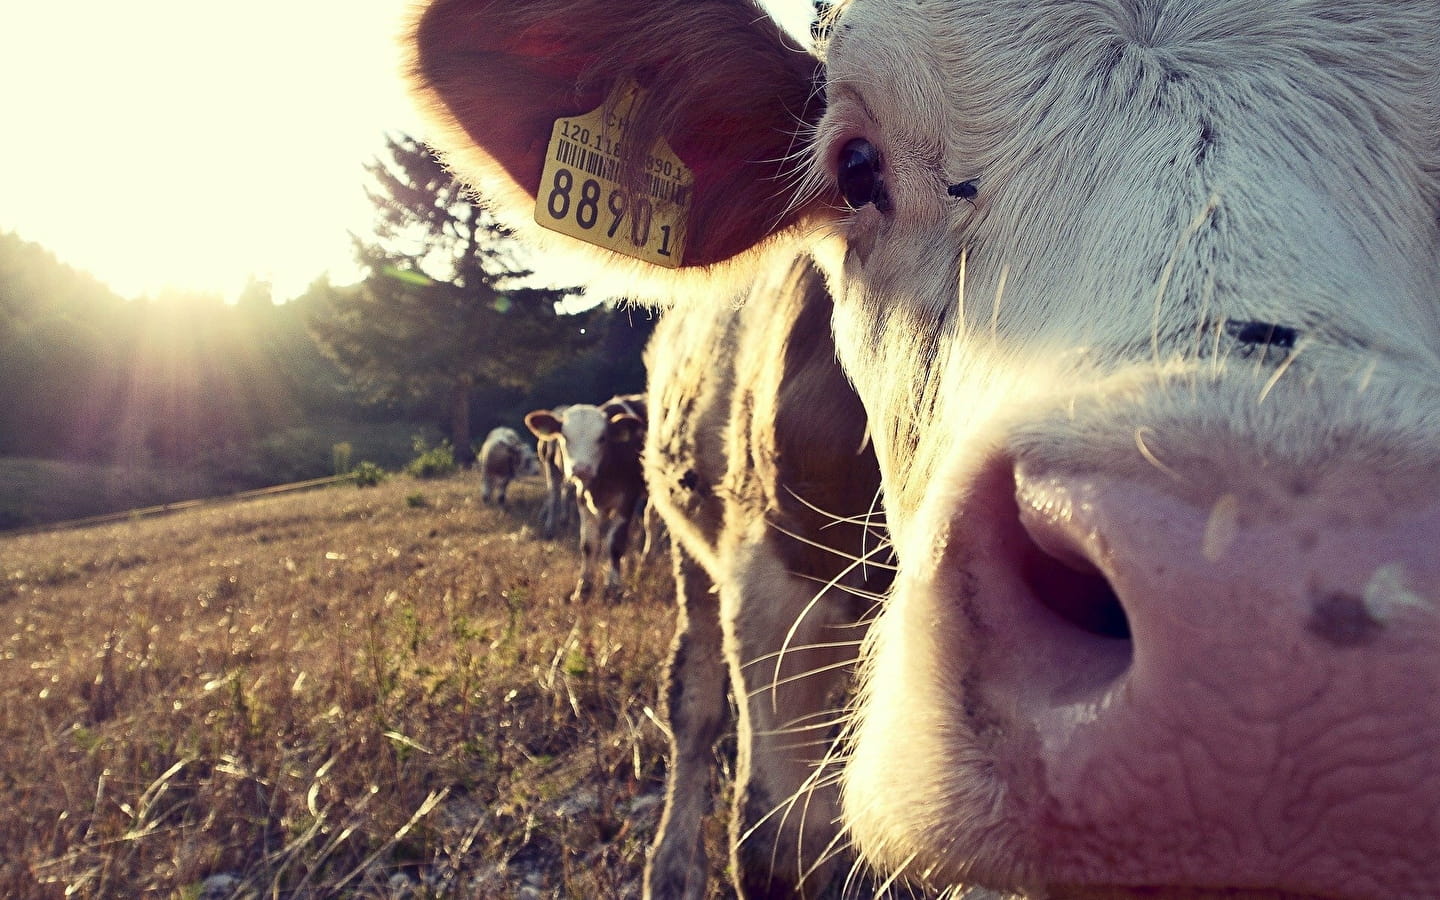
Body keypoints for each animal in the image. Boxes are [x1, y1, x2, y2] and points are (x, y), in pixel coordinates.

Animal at [527, 394, 645, 599]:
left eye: (602, 438)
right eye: (565, 437)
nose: (581, 469)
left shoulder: (628, 499)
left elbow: (615, 544)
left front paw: (613, 589)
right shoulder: (582, 497)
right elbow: (588, 544)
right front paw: (583, 589)